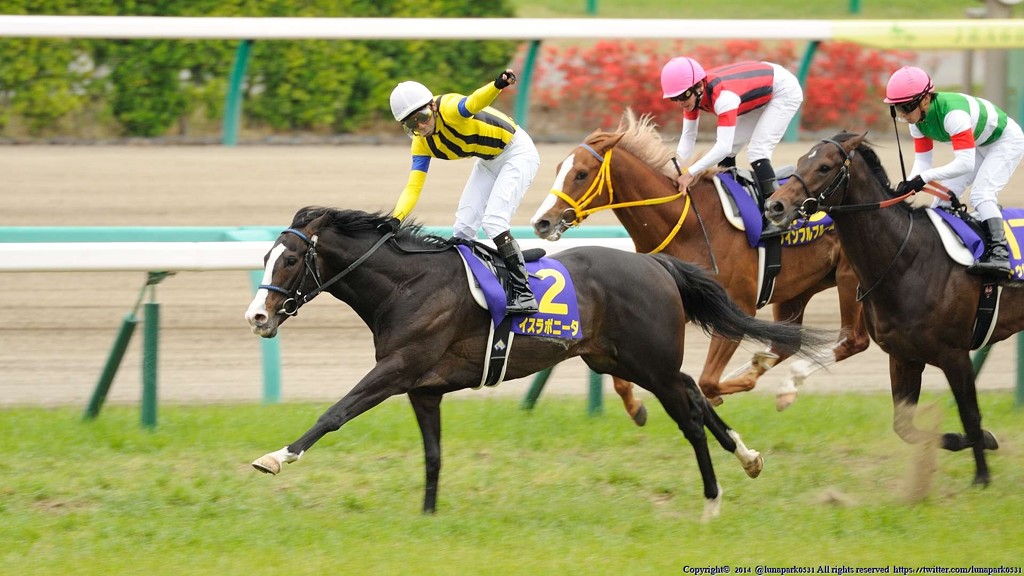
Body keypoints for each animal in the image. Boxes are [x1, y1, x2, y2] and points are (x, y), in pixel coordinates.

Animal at [245, 206, 831, 519]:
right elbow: (433, 455)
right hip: (621, 360)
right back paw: (749, 457)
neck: (409, 284)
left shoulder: (396, 370)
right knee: (692, 389)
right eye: (268, 257)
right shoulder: (423, 387)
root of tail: (656, 264)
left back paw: (711, 501)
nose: (256, 316)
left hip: (649, 362)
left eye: (291, 260)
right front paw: (428, 517)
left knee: (688, 413)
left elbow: (335, 413)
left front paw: (275, 457)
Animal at [531, 111, 868, 415]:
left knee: (853, 341)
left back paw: (786, 385)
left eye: (581, 173)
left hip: (850, 277)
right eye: (560, 168)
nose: (541, 222)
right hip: (797, 290)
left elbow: (708, 381)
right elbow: (621, 373)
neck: (689, 226)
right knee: (787, 345)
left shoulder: (737, 307)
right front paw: (635, 404)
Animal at [763, 132, 1024, 487]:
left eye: (824, 166)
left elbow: (970, 414)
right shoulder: (903, 357)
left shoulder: (954, 354)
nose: (774, 205)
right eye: (802, 159)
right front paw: (975, 440)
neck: (907, 259)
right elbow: (904, 427)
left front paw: (981, 478)